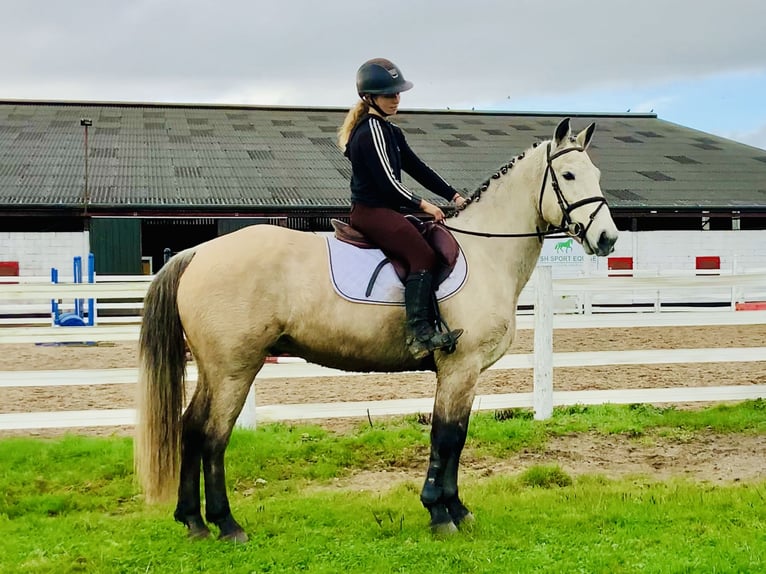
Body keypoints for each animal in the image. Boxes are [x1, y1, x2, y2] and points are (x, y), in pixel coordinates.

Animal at [135, 117, 618, 542]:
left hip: (217, 370)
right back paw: (227, 524)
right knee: (213, 437)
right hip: (235, 369)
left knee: (191, 429)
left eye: (596, 174)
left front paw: (457, 509)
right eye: (569, 174)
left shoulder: (466, 373)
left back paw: (193, 521)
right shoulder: (459, 367)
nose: (608, 239)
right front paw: (439, 513)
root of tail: (198, 252)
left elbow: (457, 438)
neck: (485, 252)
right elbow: (446, 435)